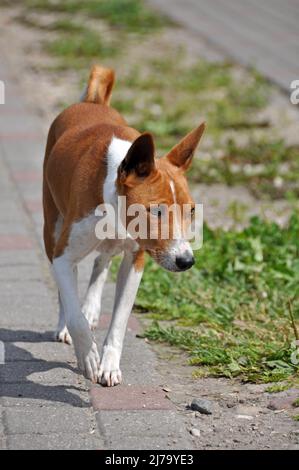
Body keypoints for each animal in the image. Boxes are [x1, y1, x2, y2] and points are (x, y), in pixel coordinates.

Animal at [42, 65, 206, 386]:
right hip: (51, 229)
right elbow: (75, 314)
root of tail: (92, 102)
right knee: (68, 286)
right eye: (156, 211)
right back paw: (67, 323)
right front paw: (88, 356)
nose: (186, 261)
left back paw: (92, 306)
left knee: (100, 262)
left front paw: (108, 364)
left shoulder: (135, 261)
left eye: (191, 211)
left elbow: (119, 322)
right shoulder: (63, 256)